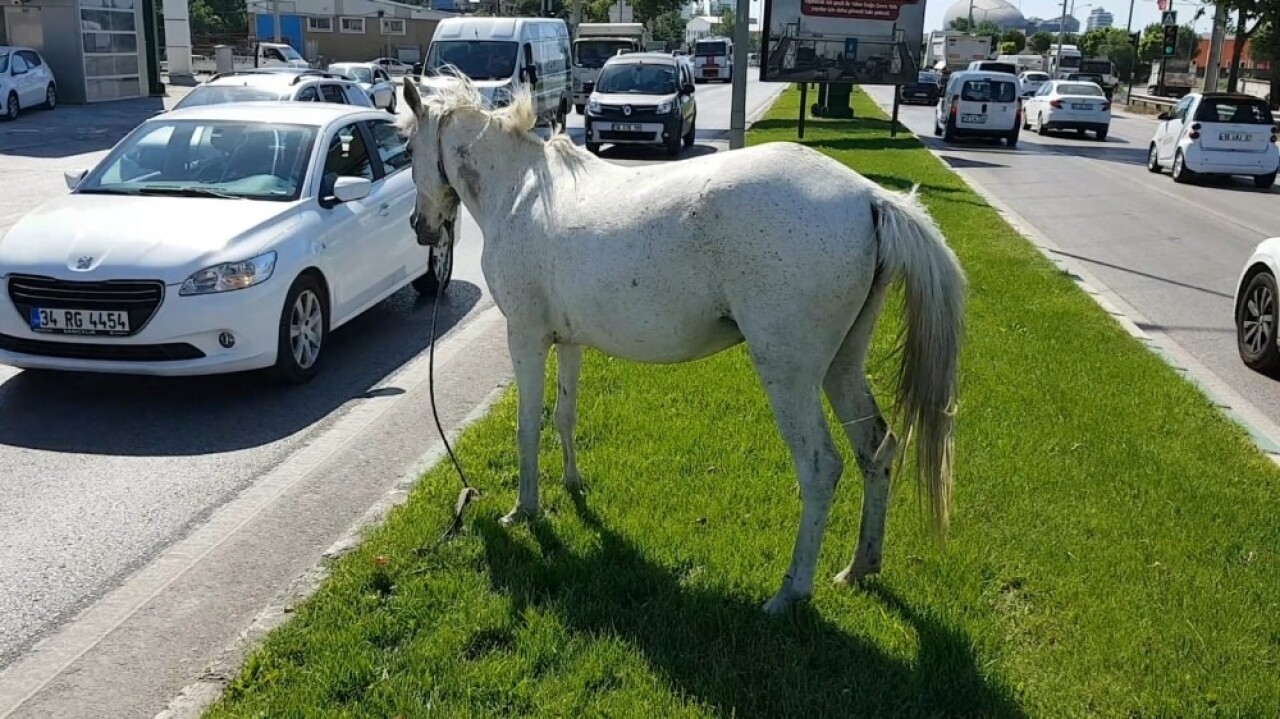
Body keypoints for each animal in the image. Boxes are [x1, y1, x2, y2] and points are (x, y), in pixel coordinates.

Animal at [399, 77, 962, 608]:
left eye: (406, 149)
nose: (420, 228)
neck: (519, 190)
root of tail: (870, 197)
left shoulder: (526, 338)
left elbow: (527, 429)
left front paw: (525, 510)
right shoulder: (570, 342)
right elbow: (564, 416)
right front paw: (573, 484)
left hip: (790, 375)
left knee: (822, 467)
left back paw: (790, 592)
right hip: (842, 366)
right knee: (878, 450)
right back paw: (860, 567)